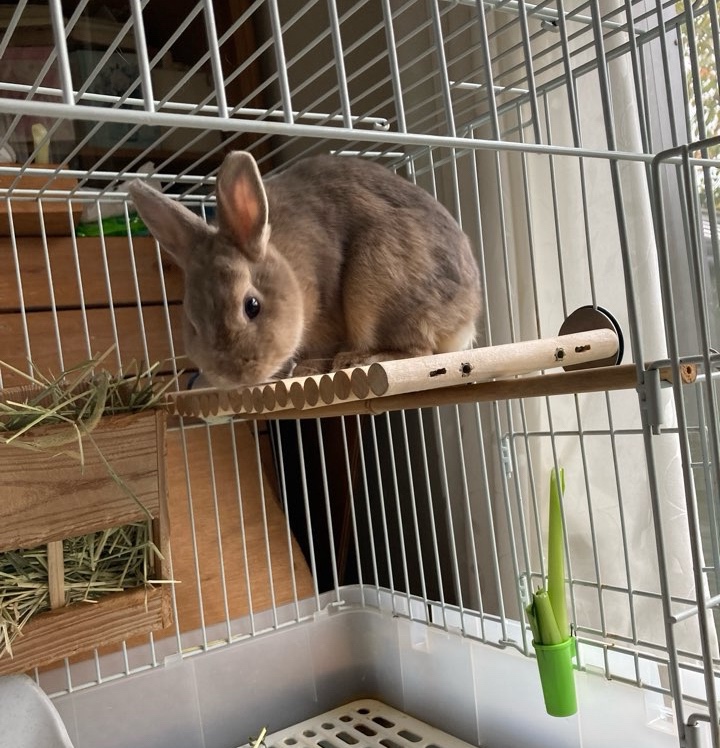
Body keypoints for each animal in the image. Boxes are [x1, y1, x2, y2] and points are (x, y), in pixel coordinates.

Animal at [129, 151, 482, 389]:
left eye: (252, 306)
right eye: (193, 324)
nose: (238, 375)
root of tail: (467, 317)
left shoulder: (325, 312)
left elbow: (321, 347)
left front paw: (305, 370)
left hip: (380, 287)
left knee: (420, 351)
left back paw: (359, 359)